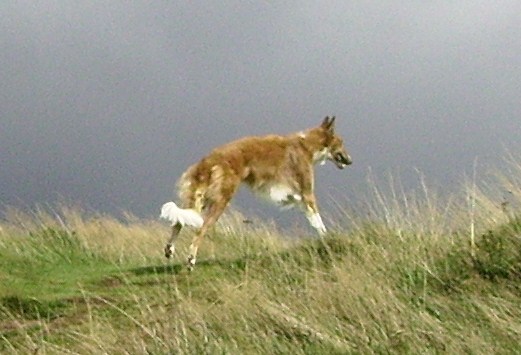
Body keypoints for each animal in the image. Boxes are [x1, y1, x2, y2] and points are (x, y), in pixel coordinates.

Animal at [160, 117, 352, 270]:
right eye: (341, 142)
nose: (350, 161)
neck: (306, 145)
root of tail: (208, 160)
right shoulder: (307, 194)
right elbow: (319, 223)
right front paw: (328, 239)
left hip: (200, 201)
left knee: (178, 223)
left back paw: (170, 249)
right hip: (220, 202)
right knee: (199, 231)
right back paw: (191, 260)